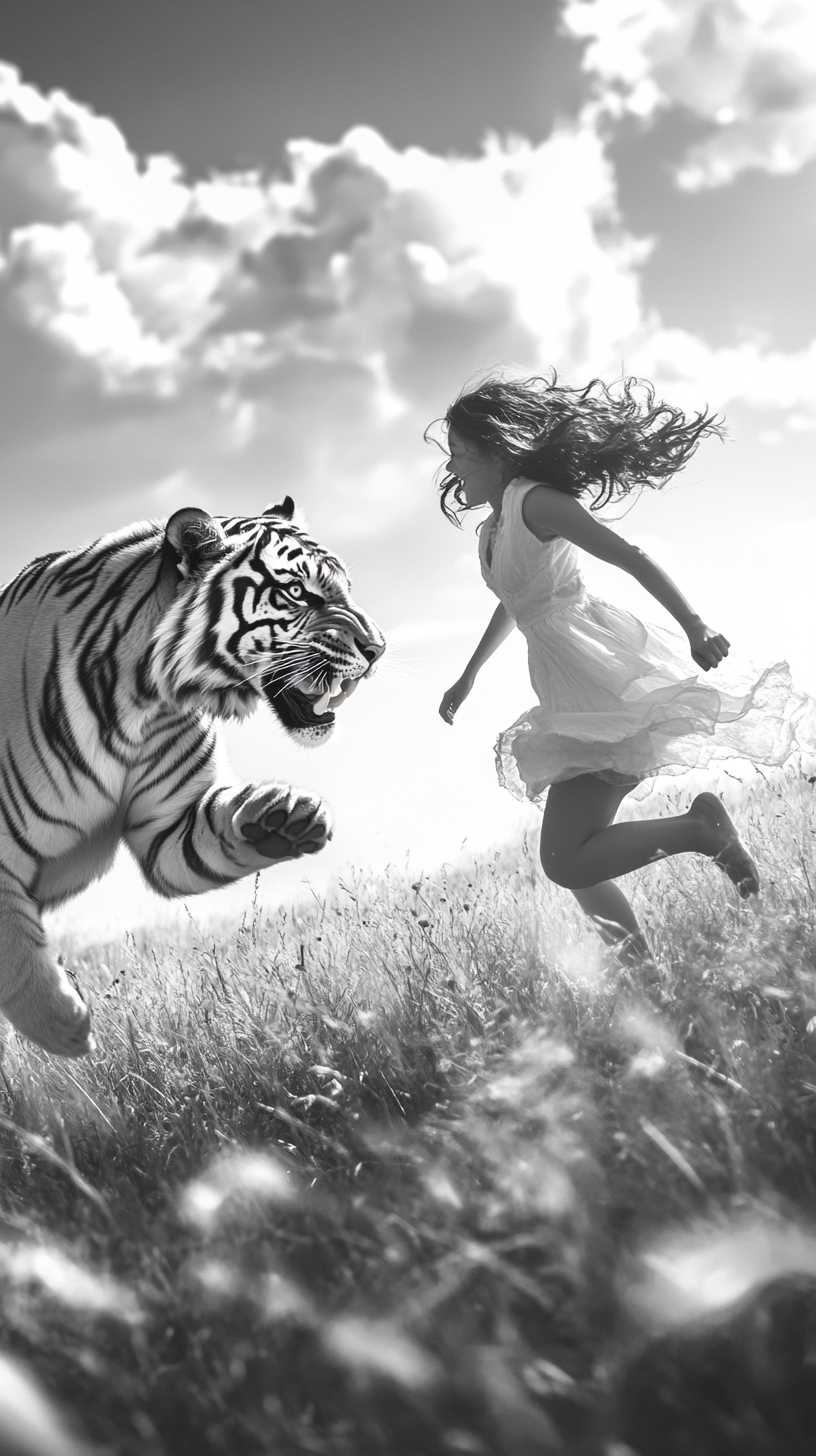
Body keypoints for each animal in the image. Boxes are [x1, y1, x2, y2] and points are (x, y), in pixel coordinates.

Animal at [0, 500, 384, 1059]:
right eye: (297, 593)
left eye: (346, 588)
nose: (377, 649)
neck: (145, 699)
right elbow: (15, 944)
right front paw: (65, 1026)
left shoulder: (168, 823)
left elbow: (209, 834)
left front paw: (286, 816)